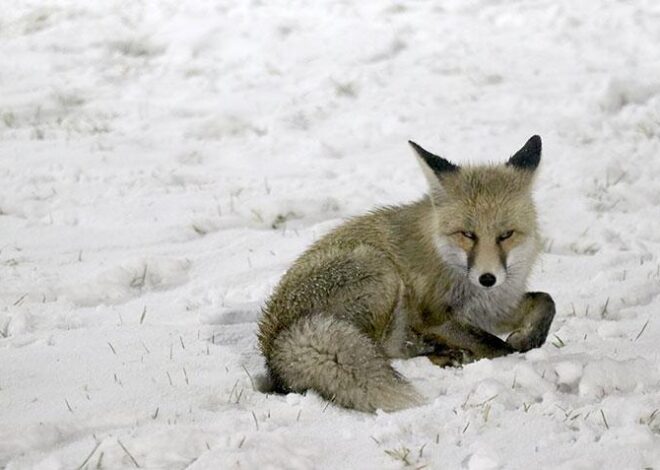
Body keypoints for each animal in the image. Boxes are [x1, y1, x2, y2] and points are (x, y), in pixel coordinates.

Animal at [255, 135, 556, 412]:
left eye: (506, 235)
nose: (487, 278)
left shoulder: (494, 309)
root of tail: (274, 345)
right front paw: (511, 349)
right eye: (467, 235)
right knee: (387, 350)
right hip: (382, 271)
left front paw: (528, 336)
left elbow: (545, 301)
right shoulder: (435, 317)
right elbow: (497, 345)